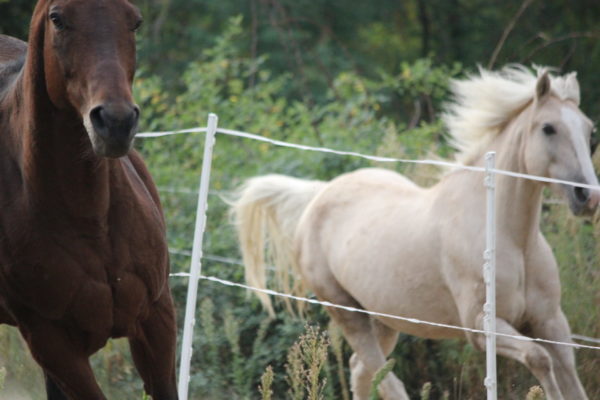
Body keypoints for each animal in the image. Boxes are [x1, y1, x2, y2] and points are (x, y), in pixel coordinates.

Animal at [0, 0, 178, 400]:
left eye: (135, 21)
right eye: (57, 18)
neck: (90, 218)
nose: (115, 122)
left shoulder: (157, 318)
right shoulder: (52, 343)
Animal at [233, 66, 596, 400]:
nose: (588, 197)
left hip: (382, 319)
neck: (512, 240)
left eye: (589, 130)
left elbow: (569, 377)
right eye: (548, 128)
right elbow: (539, 358)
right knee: (385, 380)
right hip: (347, 314)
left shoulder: (550, 322)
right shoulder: (481, 326)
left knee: (360, 371)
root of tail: (318, 195)